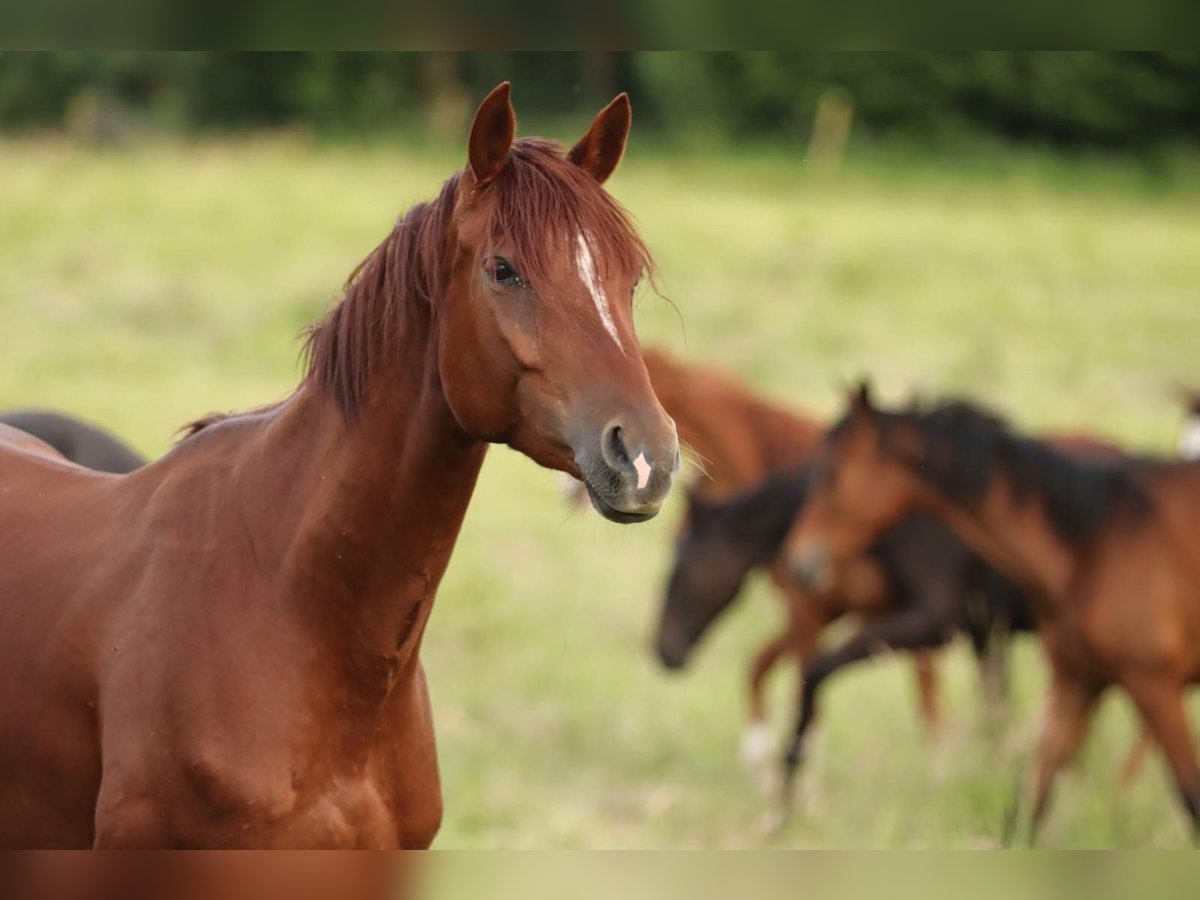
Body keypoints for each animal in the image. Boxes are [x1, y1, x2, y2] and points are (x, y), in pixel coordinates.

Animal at [787, 384, 1200, 844]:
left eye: (830, 472)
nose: (800, 560)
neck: (1094, 545)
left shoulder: (1153, 685)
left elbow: (1191, 799)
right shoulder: (1078, 683)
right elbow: (1028, 804)